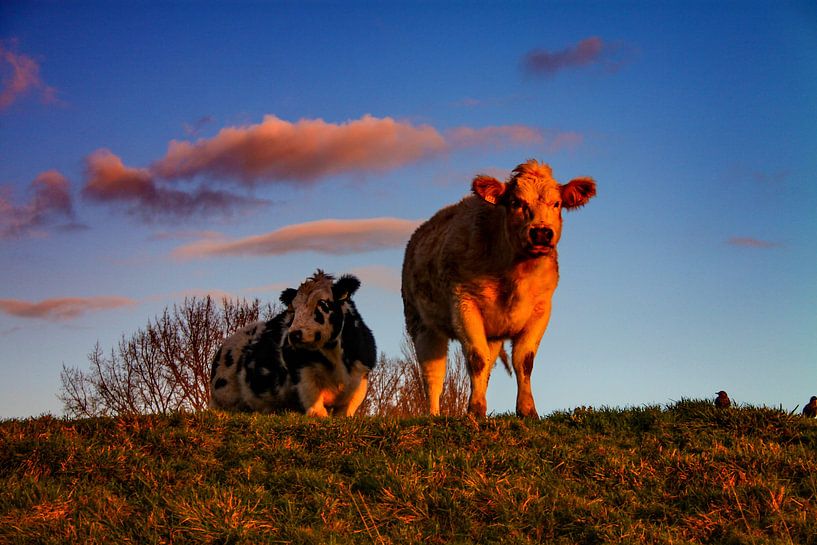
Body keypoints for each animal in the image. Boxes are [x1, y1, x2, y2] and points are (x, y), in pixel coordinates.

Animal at [209, 270, 377, 417]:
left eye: (322, 303)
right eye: (294, 309)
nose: (294, 334)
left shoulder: (360, 380)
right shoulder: (303, 376)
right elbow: (317, 411)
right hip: (223, 396)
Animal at [401, 159, 596, 417]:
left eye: (557, 204)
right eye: (516, 203)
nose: (541, 232)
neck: (515, 274)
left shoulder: (541, 309)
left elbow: (524, 360)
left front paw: (526, 409)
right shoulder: (464, 304)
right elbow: (476, 358)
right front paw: (474, 410)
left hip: (492, 332)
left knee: (487, 365)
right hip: (420, 323)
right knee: (432, 374)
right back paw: (433, 415)